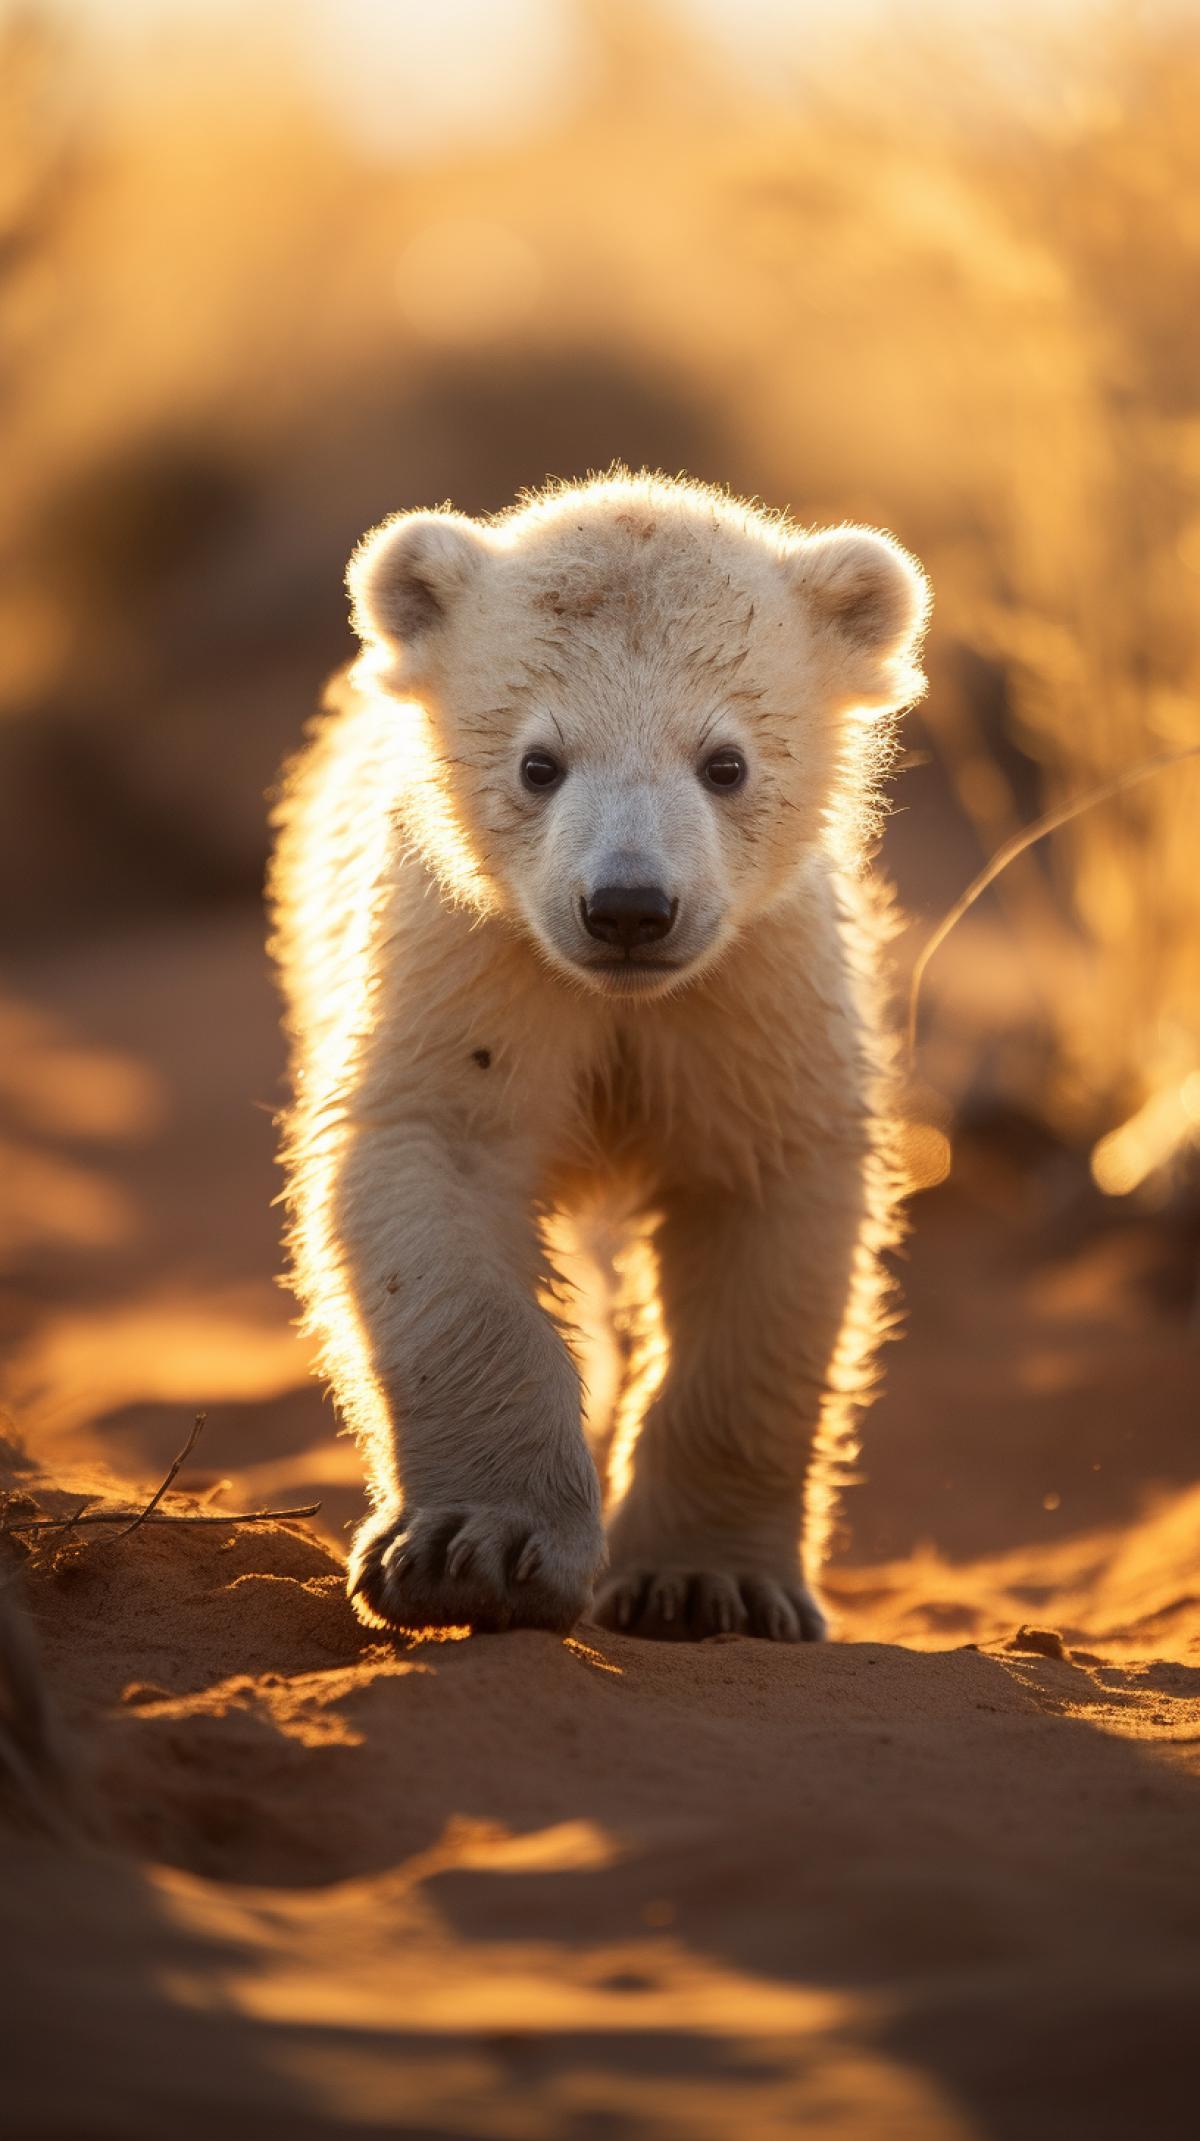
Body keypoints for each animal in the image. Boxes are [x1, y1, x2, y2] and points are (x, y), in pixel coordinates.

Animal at [268, 471, 929, 1642]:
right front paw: (471, 1550)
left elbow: (758, 1219)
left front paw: (710, 1585)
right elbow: (437, 1170)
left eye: (725, 761)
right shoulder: (472, 953)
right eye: (539, 762)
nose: (629, 907)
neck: (626, 1001)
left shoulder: (751, 989)